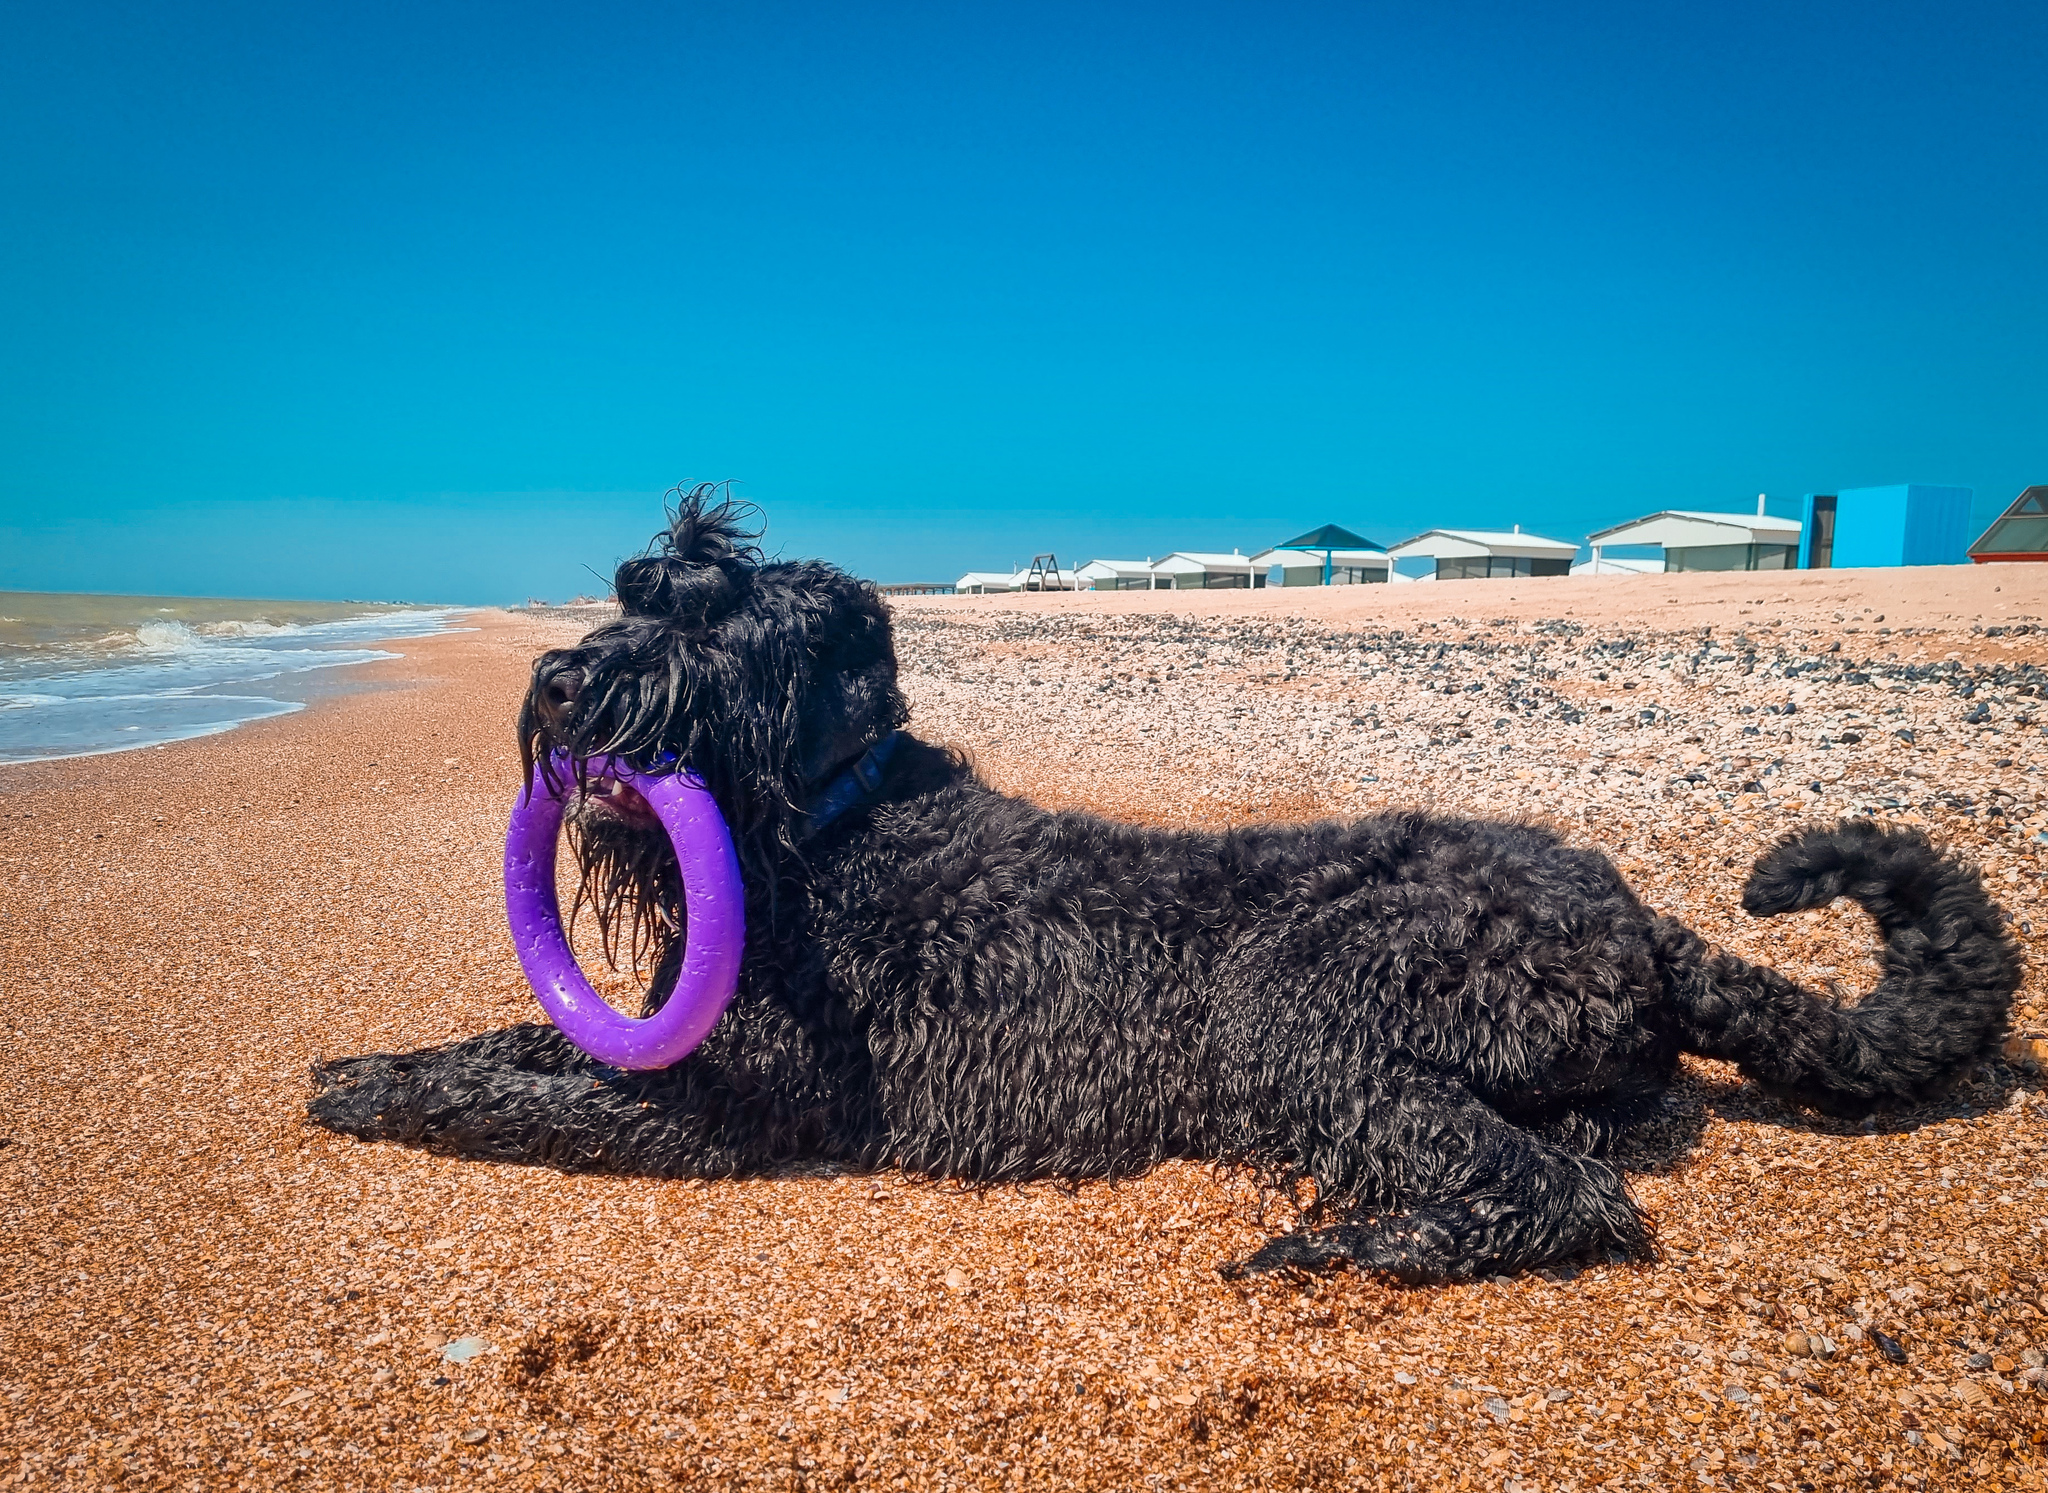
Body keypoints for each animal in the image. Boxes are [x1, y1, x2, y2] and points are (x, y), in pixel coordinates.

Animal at [311, 491, 2023, 1277]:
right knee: (1577, 1150)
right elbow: (519, 1045)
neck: (835, 822)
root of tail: (1643, 914)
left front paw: (379, 1094)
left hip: (1302, 1014)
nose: (563, 681)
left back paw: (1343, 1244)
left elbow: (529, 1099)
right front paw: (372, 1057)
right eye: (631, 586)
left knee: (1561, 1195)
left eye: (713, 620)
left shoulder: (734, 1106)